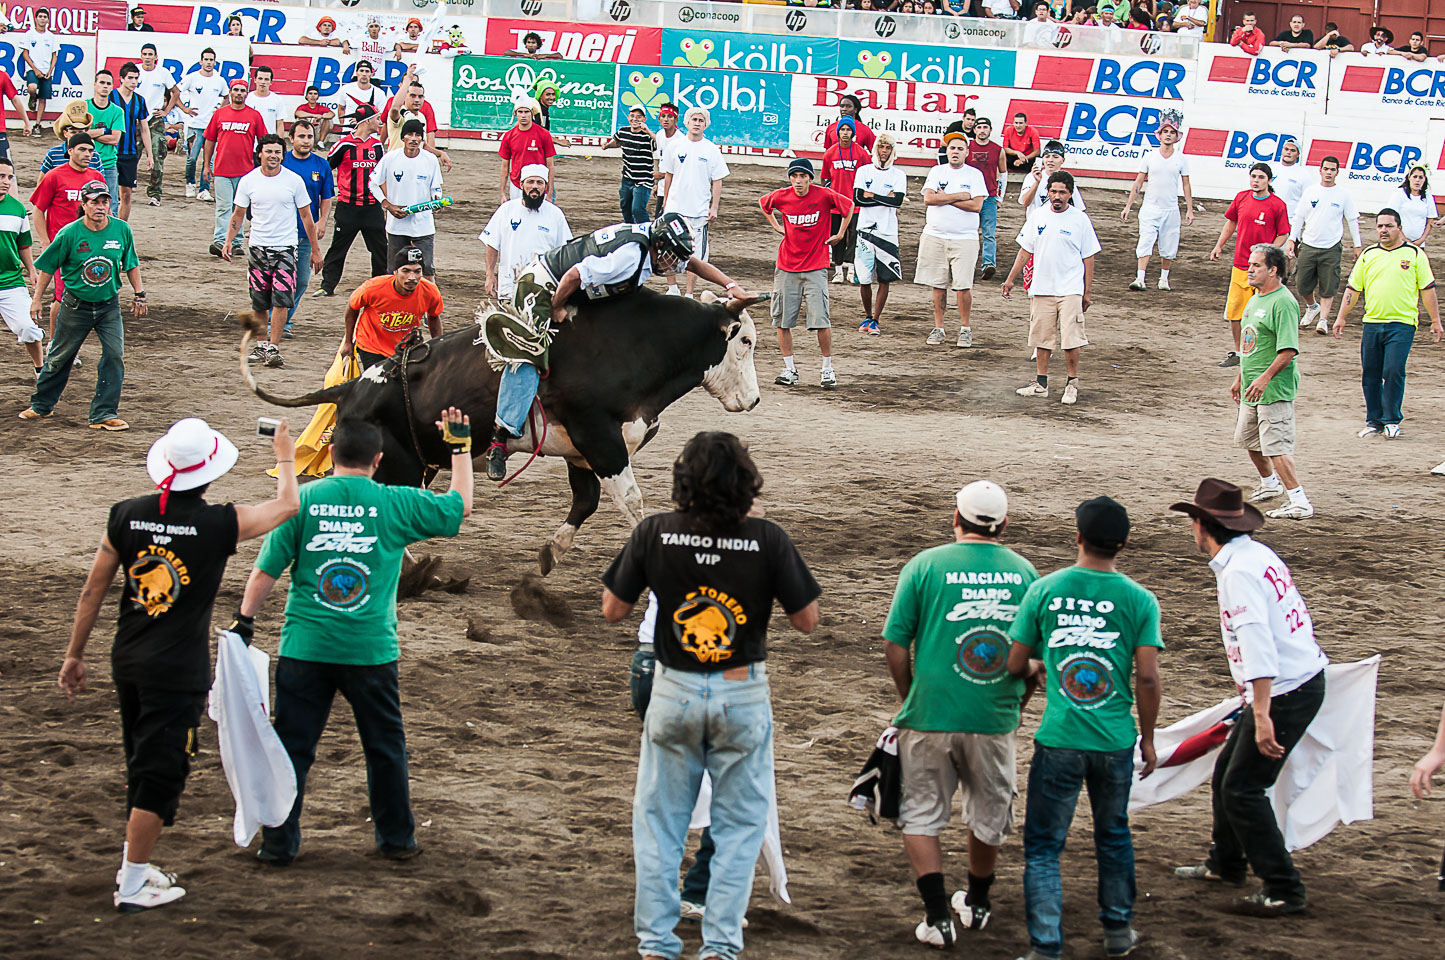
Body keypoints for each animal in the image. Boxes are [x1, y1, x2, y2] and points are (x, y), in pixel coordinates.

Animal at [242, 289, 768, 572]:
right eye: (745, 340)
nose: (755, 401)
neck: (638, 344)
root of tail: (354, 386)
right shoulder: (599, 437)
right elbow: (632, 502)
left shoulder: (580, 452)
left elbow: (586, 502)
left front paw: (552, 553)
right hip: (393, 464)